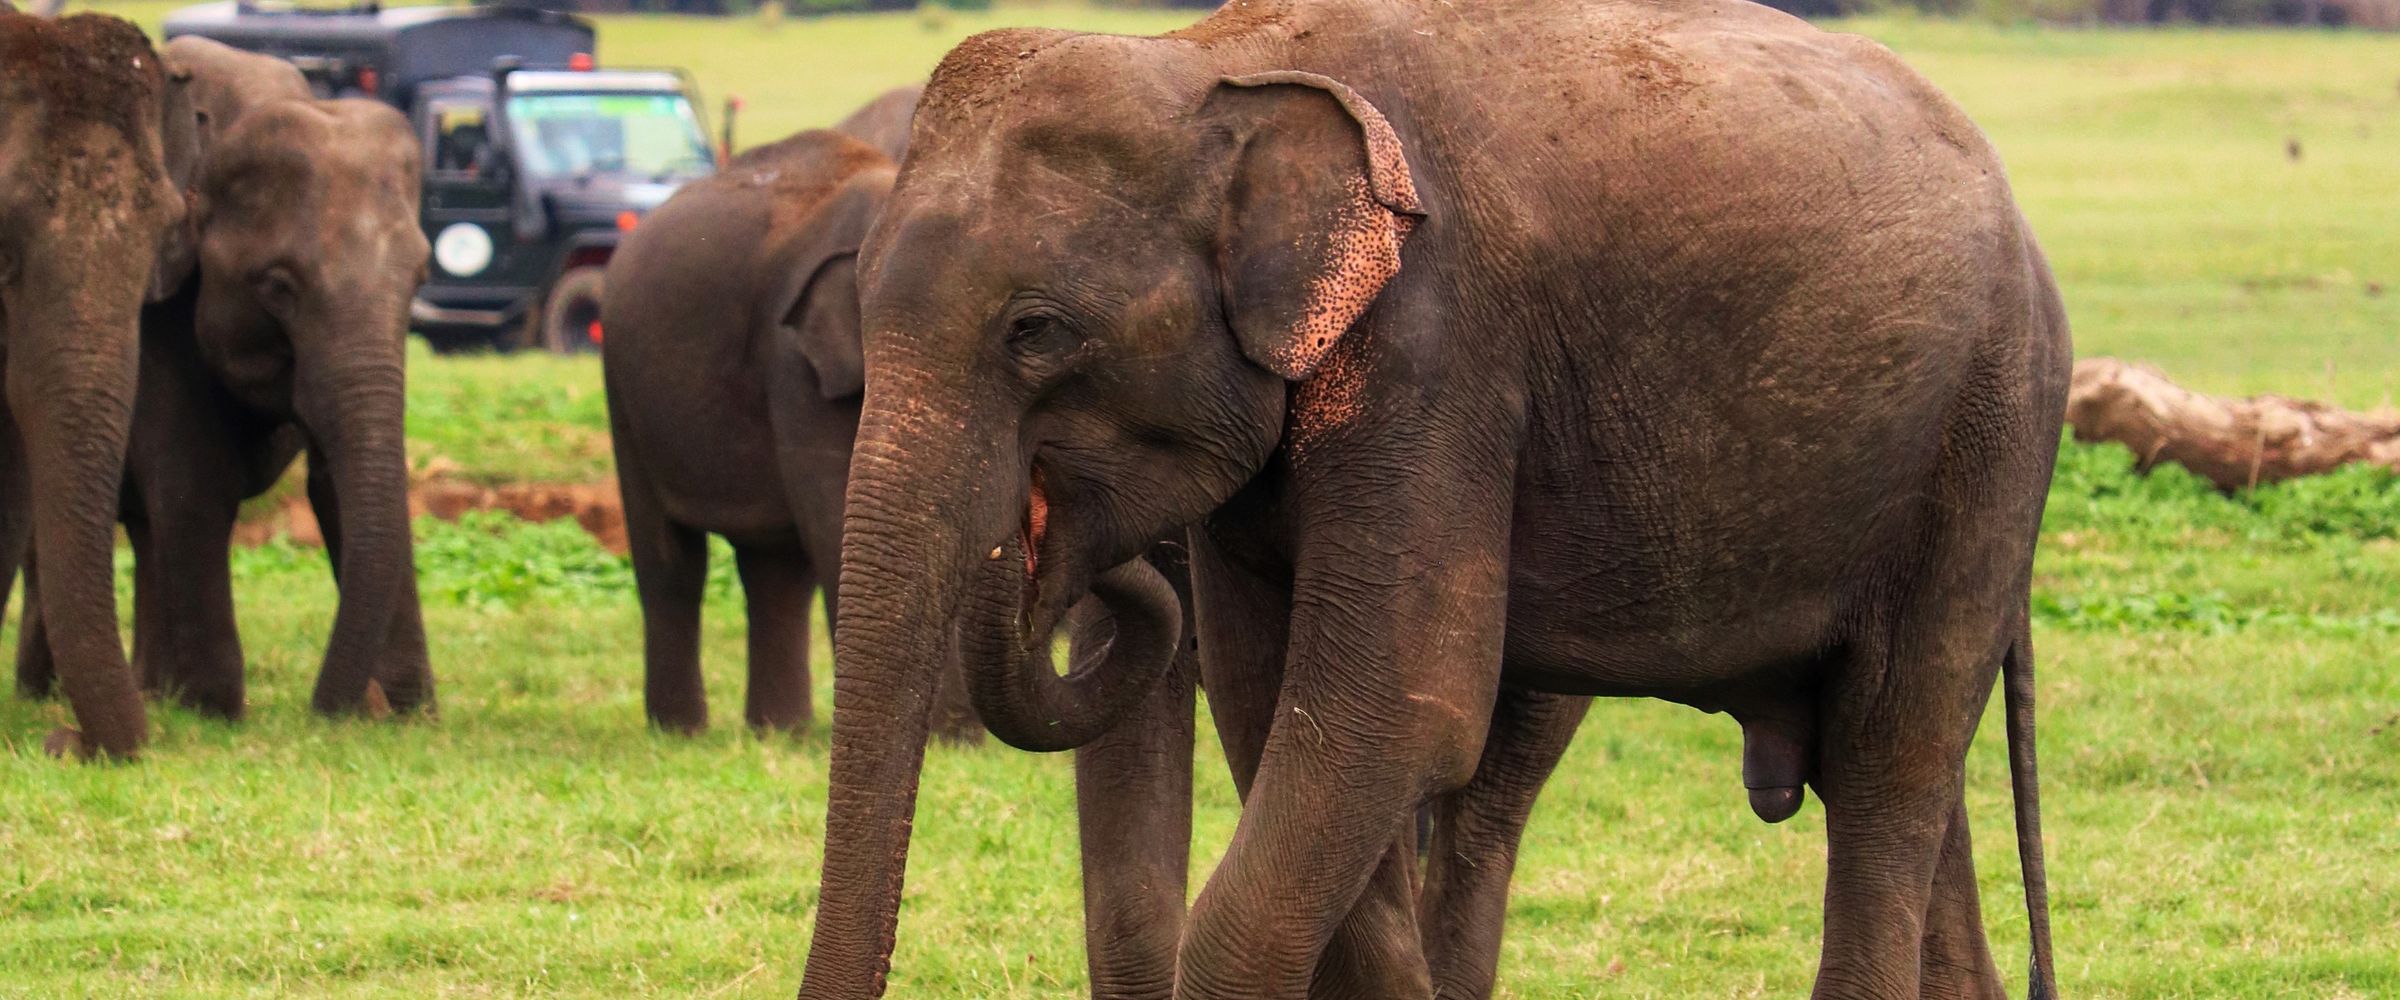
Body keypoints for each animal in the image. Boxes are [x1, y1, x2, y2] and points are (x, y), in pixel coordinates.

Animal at [18, 36, 437, 720]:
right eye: (277, 286)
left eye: (421, 278)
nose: (332, 713)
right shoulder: (161, 310)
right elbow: (195, 475)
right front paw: (215, 710)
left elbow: (335, 480)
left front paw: (411, 716)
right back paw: (47, 696)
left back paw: (150, 692)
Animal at [601, 123, 979, 738]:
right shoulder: (795, 365)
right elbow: (836, 522)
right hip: (623, 391)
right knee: (671, 564)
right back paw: (681, 733)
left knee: (773, 574)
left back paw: (780, 733)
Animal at [802, 1, 2070, 999]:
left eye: (1036, 331)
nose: (1066, 544)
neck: (1215, 58)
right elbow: (1274, 708)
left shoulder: (1440, 352)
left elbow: (1395, 711)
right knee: (1898, 767)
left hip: (1991, 435)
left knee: (1893, 755)